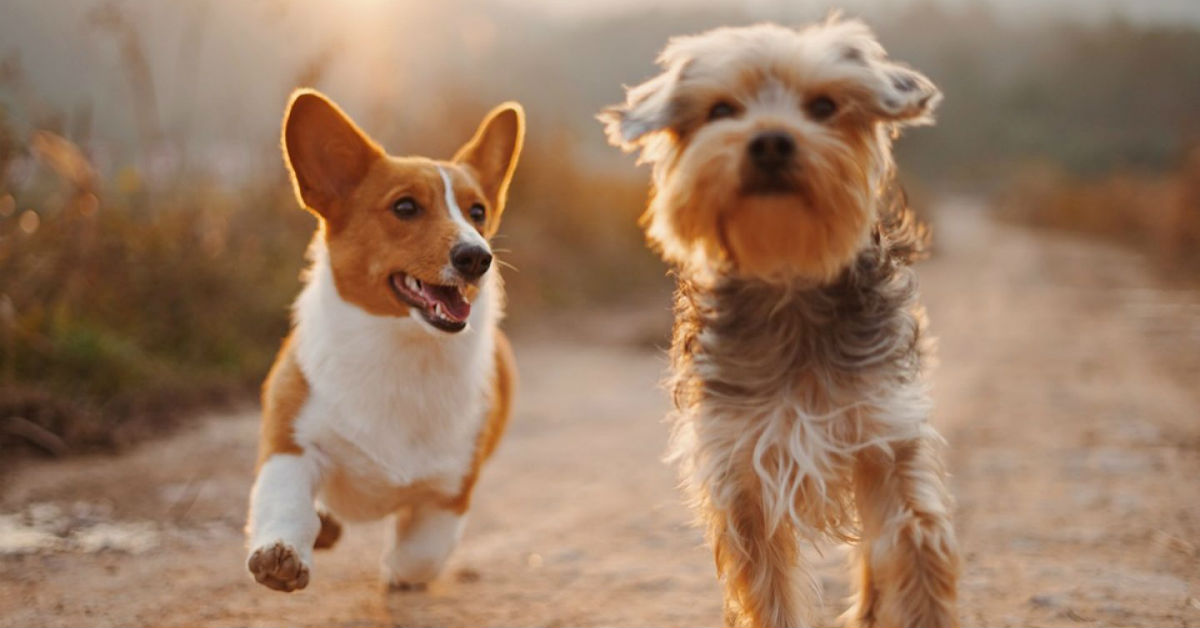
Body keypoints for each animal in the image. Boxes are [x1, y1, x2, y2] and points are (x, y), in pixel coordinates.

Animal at [246, 89, 523, 595]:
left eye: (477, 212)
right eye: (405, 208)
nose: (477, 257)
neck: (401, 349)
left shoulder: (450, 491)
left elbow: (421, 555)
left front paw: (397, 572)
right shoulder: (291, 444)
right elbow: (285, 502)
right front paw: (281, 554)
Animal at [604, 17, 960, 624]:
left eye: (824, 106)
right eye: (722, 109)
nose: (770, 140)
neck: (789, 279)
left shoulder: (887, 437)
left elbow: (914, 552)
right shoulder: (742, 471)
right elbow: (768, 590)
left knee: (872, 552)